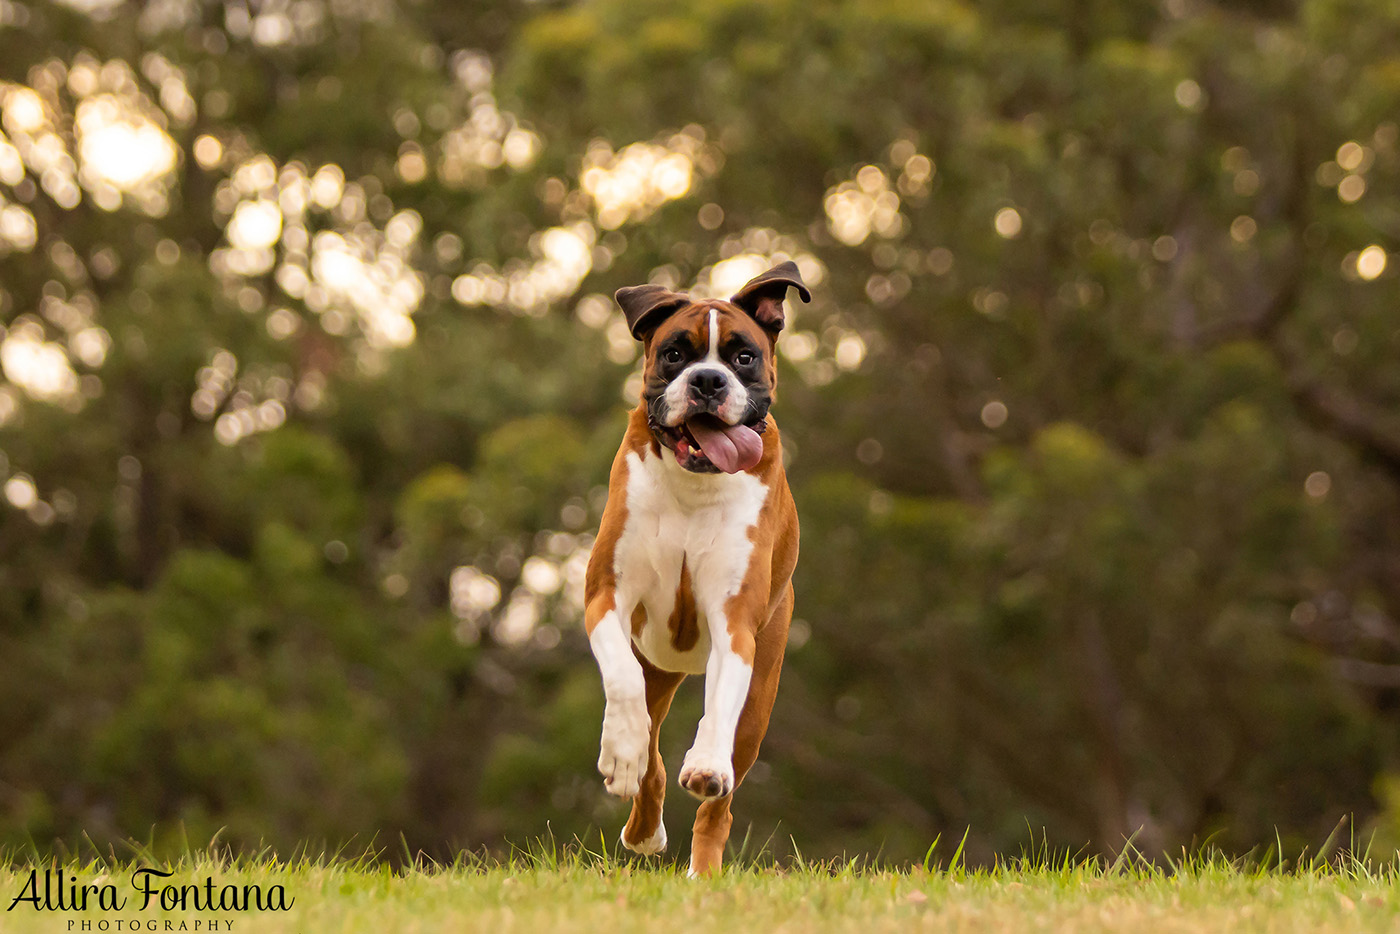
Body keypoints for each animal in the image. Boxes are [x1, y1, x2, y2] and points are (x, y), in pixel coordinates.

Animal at [585, 261, 812, 879]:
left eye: (744, 357)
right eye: (674, 354)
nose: (708, 381)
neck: (695, 480)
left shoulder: (735, 624)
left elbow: (719, 705)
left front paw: (706, 760)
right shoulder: (605, 596)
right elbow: (620, 678)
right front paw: (620, 749)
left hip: (760, 697)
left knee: (719, 806)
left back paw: (702, 865)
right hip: (658, 667)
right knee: (652, 750)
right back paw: (642, 825)